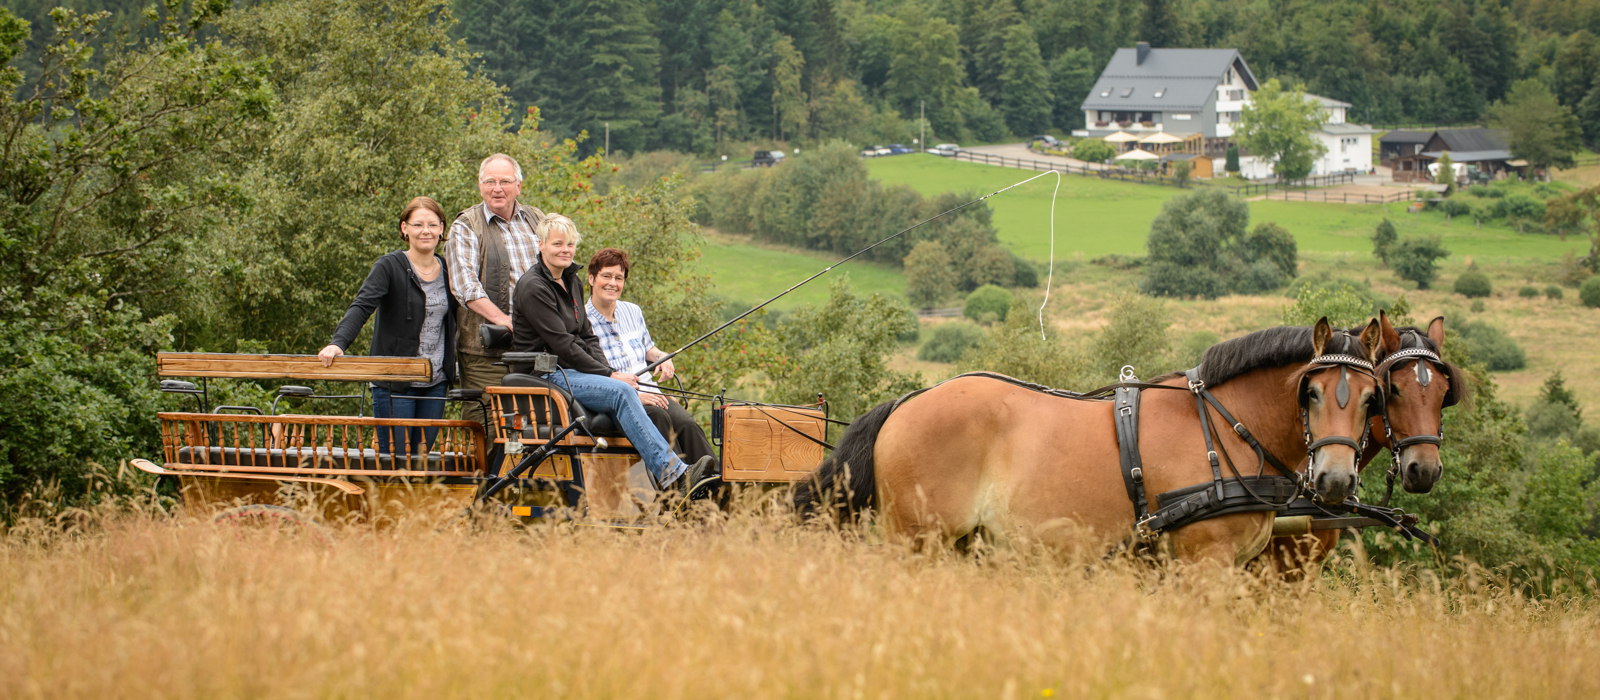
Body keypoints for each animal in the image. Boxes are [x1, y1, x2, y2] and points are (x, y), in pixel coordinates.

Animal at [794, 318, 1385, 566]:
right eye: (1311, 392)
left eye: (1371, 398)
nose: (1335, 479)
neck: (1224, 429)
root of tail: (906, 402)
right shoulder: (1205, 561)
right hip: (917, 539)